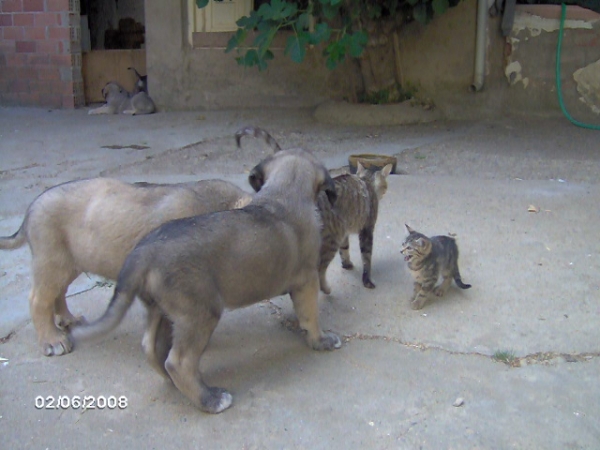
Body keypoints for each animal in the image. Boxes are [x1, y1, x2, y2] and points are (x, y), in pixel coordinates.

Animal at [0, 178, 251, 356]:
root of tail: (31, 209)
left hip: (69, 263)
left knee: (58, 293)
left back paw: (68, 320)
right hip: (52, 260)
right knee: (38, 300)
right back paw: (52, 341)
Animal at [69, 146, 342, 414]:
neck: (283, 194)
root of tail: (143, 251)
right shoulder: (307, 280)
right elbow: (311, 315)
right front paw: (321, 340)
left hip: (159, 308)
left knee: (151, 348)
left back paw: (175, 383)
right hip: (200, 311)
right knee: (179, 361)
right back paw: (210, 399)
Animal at [318, 162, 394, 296]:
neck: (366, 180)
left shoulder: (344, 233)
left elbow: (344, 249)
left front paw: (346, 264)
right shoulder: (367, 230)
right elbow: (366, 258)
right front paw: (367, 280)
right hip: (330, 241)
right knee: (319, 272)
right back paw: (326, 289)